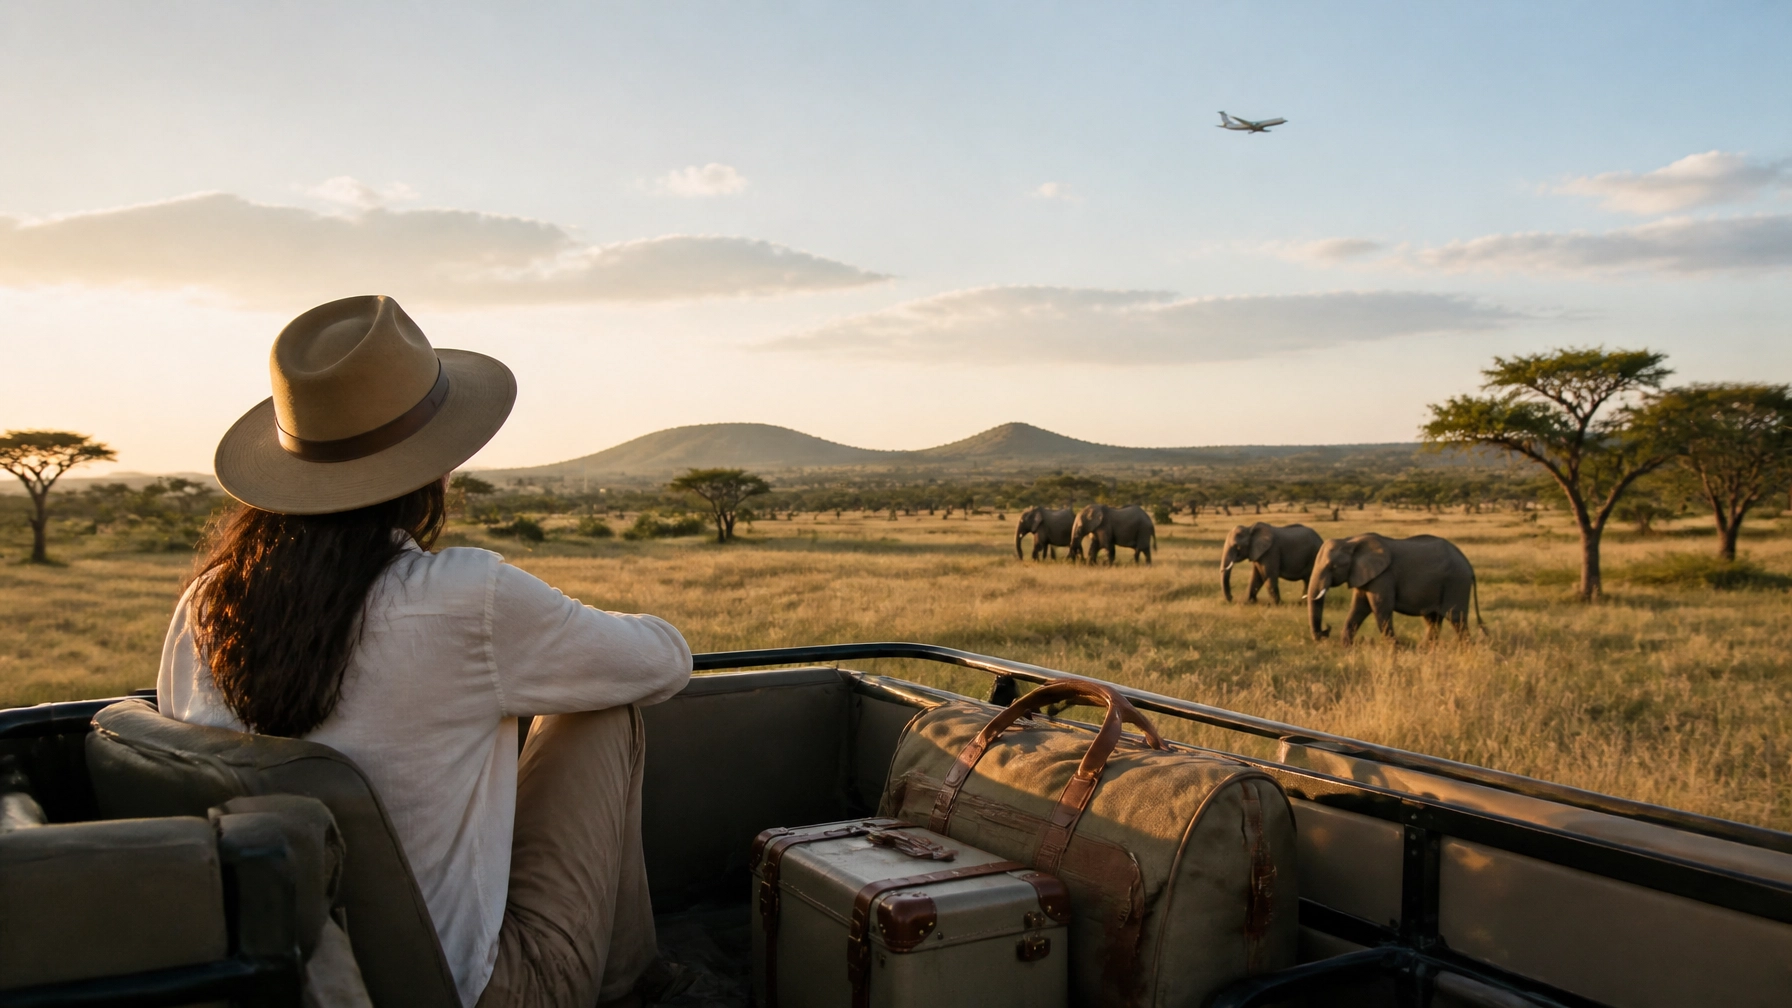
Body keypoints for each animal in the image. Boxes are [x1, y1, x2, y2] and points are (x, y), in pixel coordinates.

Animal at [1307, 533, 1484, 644]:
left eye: (1333, 567)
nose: (1324, 633)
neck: (1351, 541)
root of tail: (1469, 566)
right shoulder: (1364, 574)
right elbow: (1359, 608)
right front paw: (1346, 648)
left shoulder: (1383, 576)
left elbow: (1380, 607)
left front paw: (1395, 648)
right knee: (1432, 620)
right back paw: (1425, 650)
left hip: (1456, 583)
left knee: (1456, 618)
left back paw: (1465, 650)